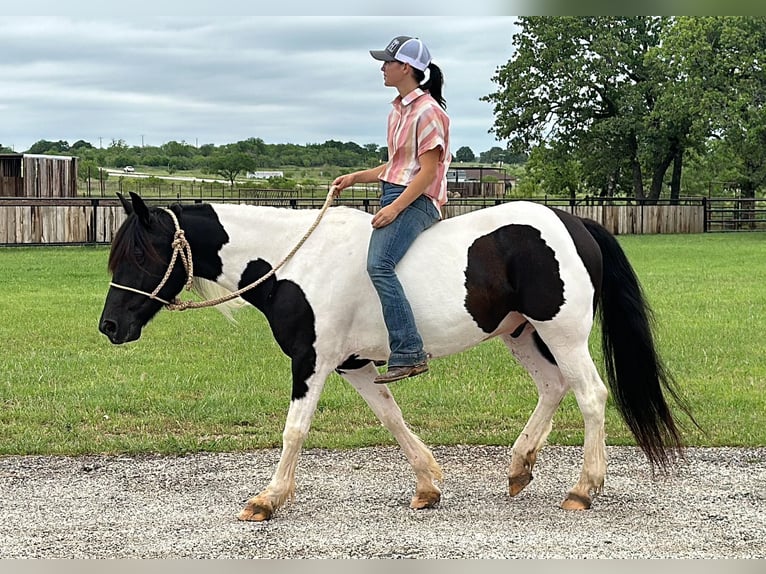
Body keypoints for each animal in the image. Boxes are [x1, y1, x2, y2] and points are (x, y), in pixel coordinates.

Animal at [99, 192, 692, 520]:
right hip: (519, 333)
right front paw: (428, 485)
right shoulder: (354, 365)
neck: (297, 262)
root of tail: (574, 223)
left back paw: (583, 489)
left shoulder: (312, 361)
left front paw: (268, 499)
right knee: (553, 387)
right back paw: (519, 468)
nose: (109, 326)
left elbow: (295, 430)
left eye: (138, 254)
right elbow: (392, 418)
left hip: (561, 332)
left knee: (590, 395)